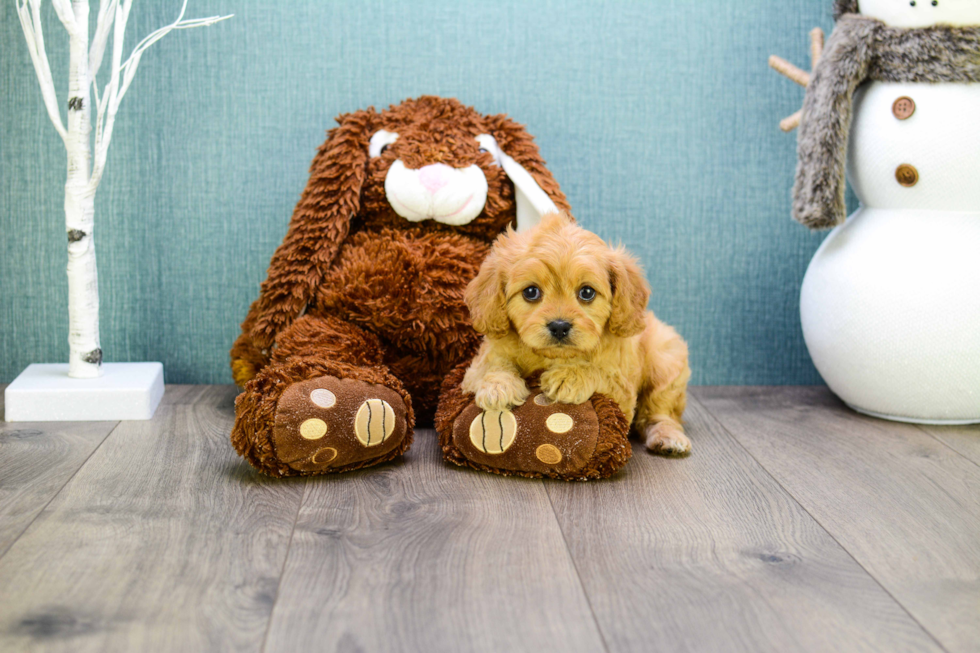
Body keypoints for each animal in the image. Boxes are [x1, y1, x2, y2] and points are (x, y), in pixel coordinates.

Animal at [464, 213, 692, 454]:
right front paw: (498, 387)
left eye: (587, 292)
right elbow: (493, 364)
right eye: (531, 292)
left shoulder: (622, 390)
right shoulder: (474, 368)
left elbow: (601, 373)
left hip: (666, 359)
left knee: (661, 412)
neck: (554, 356)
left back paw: (669, 437)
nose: (559, 326)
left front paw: (569, 376)